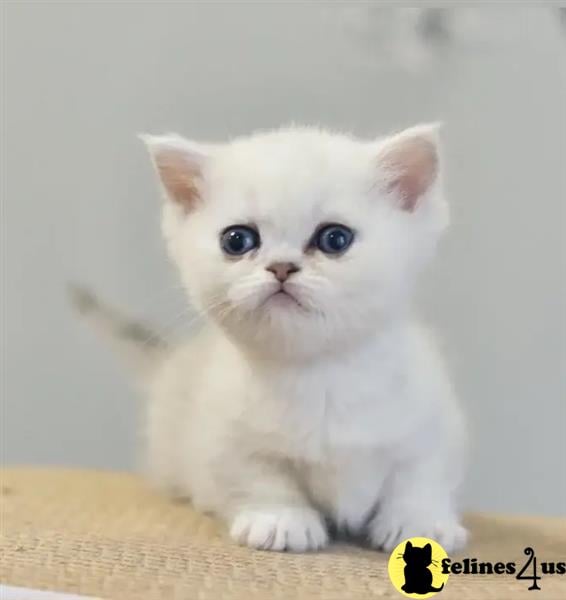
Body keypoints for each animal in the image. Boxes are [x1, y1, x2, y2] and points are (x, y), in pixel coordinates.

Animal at [73, 123, 468, 552]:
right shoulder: (223, 431)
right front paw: (280, 519)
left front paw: (420, 522)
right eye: (237, 240)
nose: (281, 266)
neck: (319, 376)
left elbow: (420, 476)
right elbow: (257, 475)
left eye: (335, 238)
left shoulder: (434, 420)